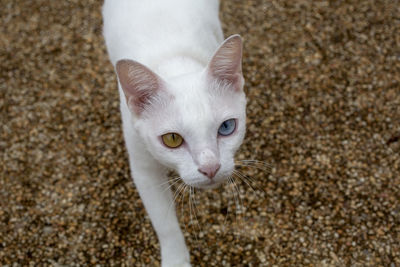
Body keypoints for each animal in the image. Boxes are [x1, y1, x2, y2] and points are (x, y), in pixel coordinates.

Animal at [102, 1, 247, 266]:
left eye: (226, 127)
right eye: (172, 139)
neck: (175, 63)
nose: (210, 168)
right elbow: (166, 226)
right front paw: (176, 260)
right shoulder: (143, 169)